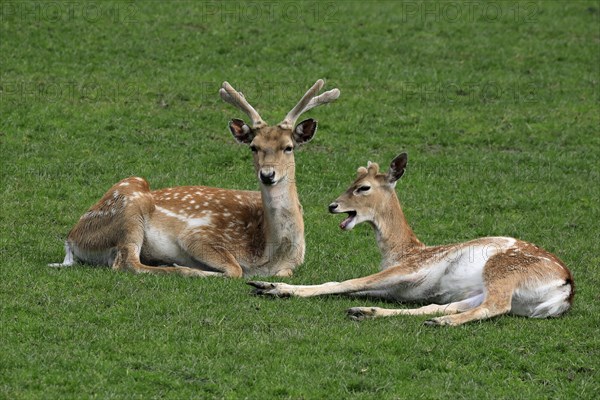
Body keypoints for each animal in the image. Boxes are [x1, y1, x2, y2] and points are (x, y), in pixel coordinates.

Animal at [49, 78, 340, 278]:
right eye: (253, 147)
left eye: (288, 147)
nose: (268, 174)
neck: (269, 253)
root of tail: (71, 239)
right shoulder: (198, 235)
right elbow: (235, 270)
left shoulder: (291, 267)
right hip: (130, 205)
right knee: (127, 262)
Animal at [250, 153, 576, 324]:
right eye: (351, 182)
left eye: (363, 187)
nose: (332, 206)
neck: (402, 251)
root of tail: (566, 289)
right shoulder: (403, 288)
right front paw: (268, 286)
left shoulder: (410, 268)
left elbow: (344, 282)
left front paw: (272, 286)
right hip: (485, 292)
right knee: (442, 307)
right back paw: (366, 311)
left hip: (503, 271)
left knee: (496, 306)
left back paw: (443, 323)